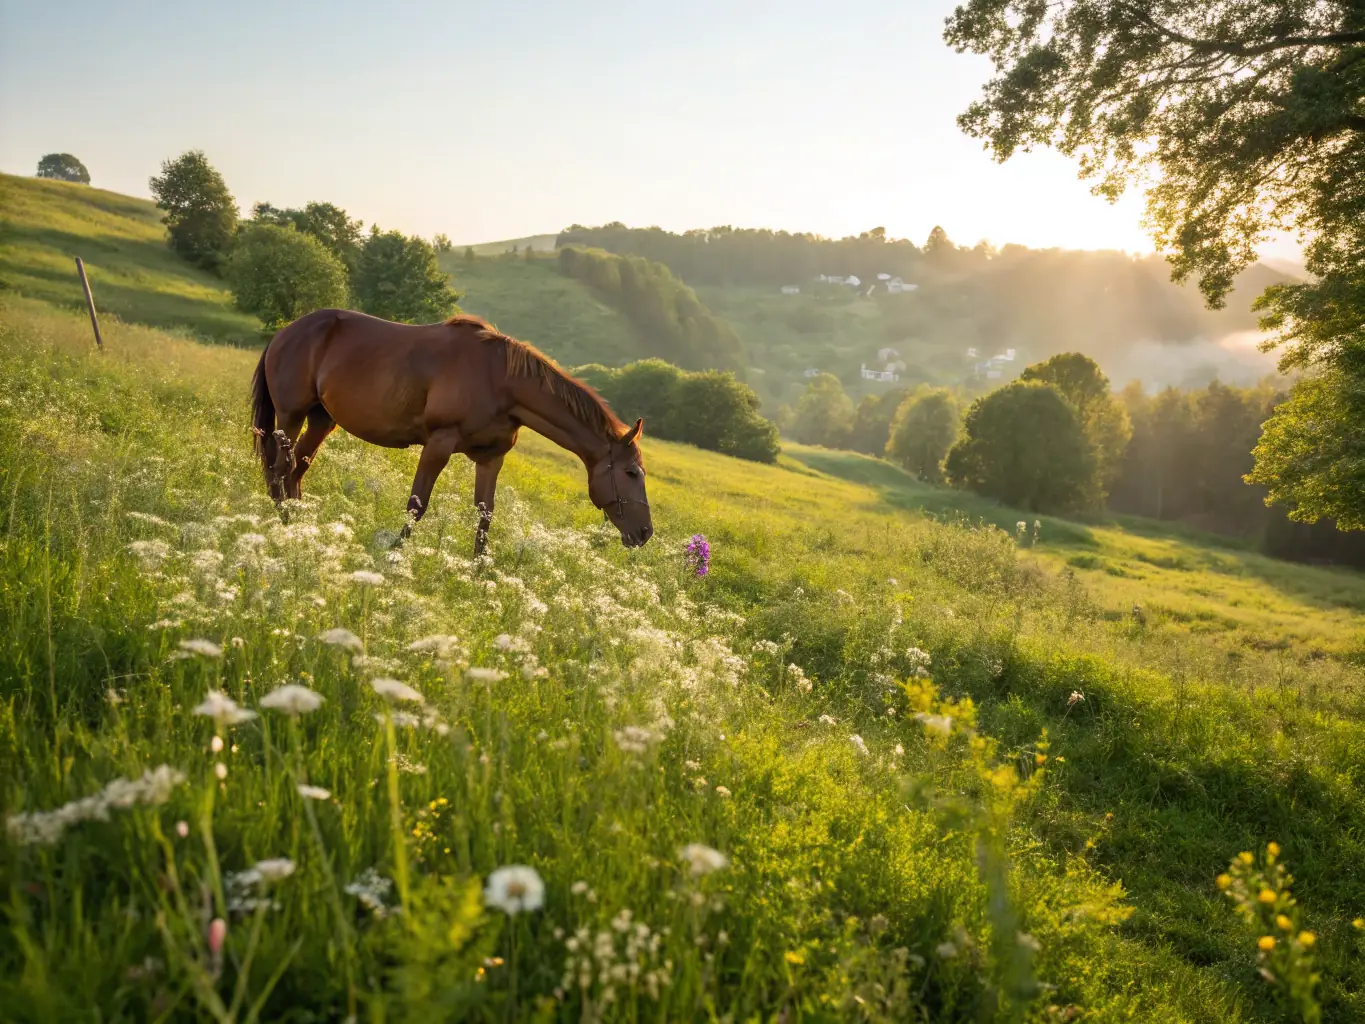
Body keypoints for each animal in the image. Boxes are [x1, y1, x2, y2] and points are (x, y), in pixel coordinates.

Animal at [249, 308, 652, 553]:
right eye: (632, 473)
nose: (645, 533)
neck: (500, 380)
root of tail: (287, 331)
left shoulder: (491, 459)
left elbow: (486, 514)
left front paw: (480, 573)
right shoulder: (439, 444)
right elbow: (417, 504)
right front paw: (395, 554)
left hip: (322, 419)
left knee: (297, 469)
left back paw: (300, 521)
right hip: (291, 415)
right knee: (281, 467)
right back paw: (284, 521)